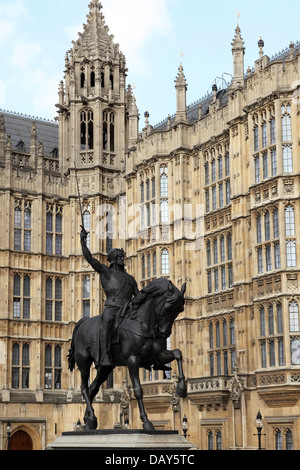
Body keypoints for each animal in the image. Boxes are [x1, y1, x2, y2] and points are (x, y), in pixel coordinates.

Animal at [67, 278, 188, 432]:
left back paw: (88, 420)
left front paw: (182, 388)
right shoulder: (132, 360)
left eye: (180, 309)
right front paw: (146, 421)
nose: (164, 333)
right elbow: (138, 390)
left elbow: (178, 353)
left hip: (106, 367)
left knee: (93, 387)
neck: (143, 324)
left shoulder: (158, 355)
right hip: (84, 362)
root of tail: (82, 322)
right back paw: (92, 419)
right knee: (84, 387)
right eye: (168, 307)